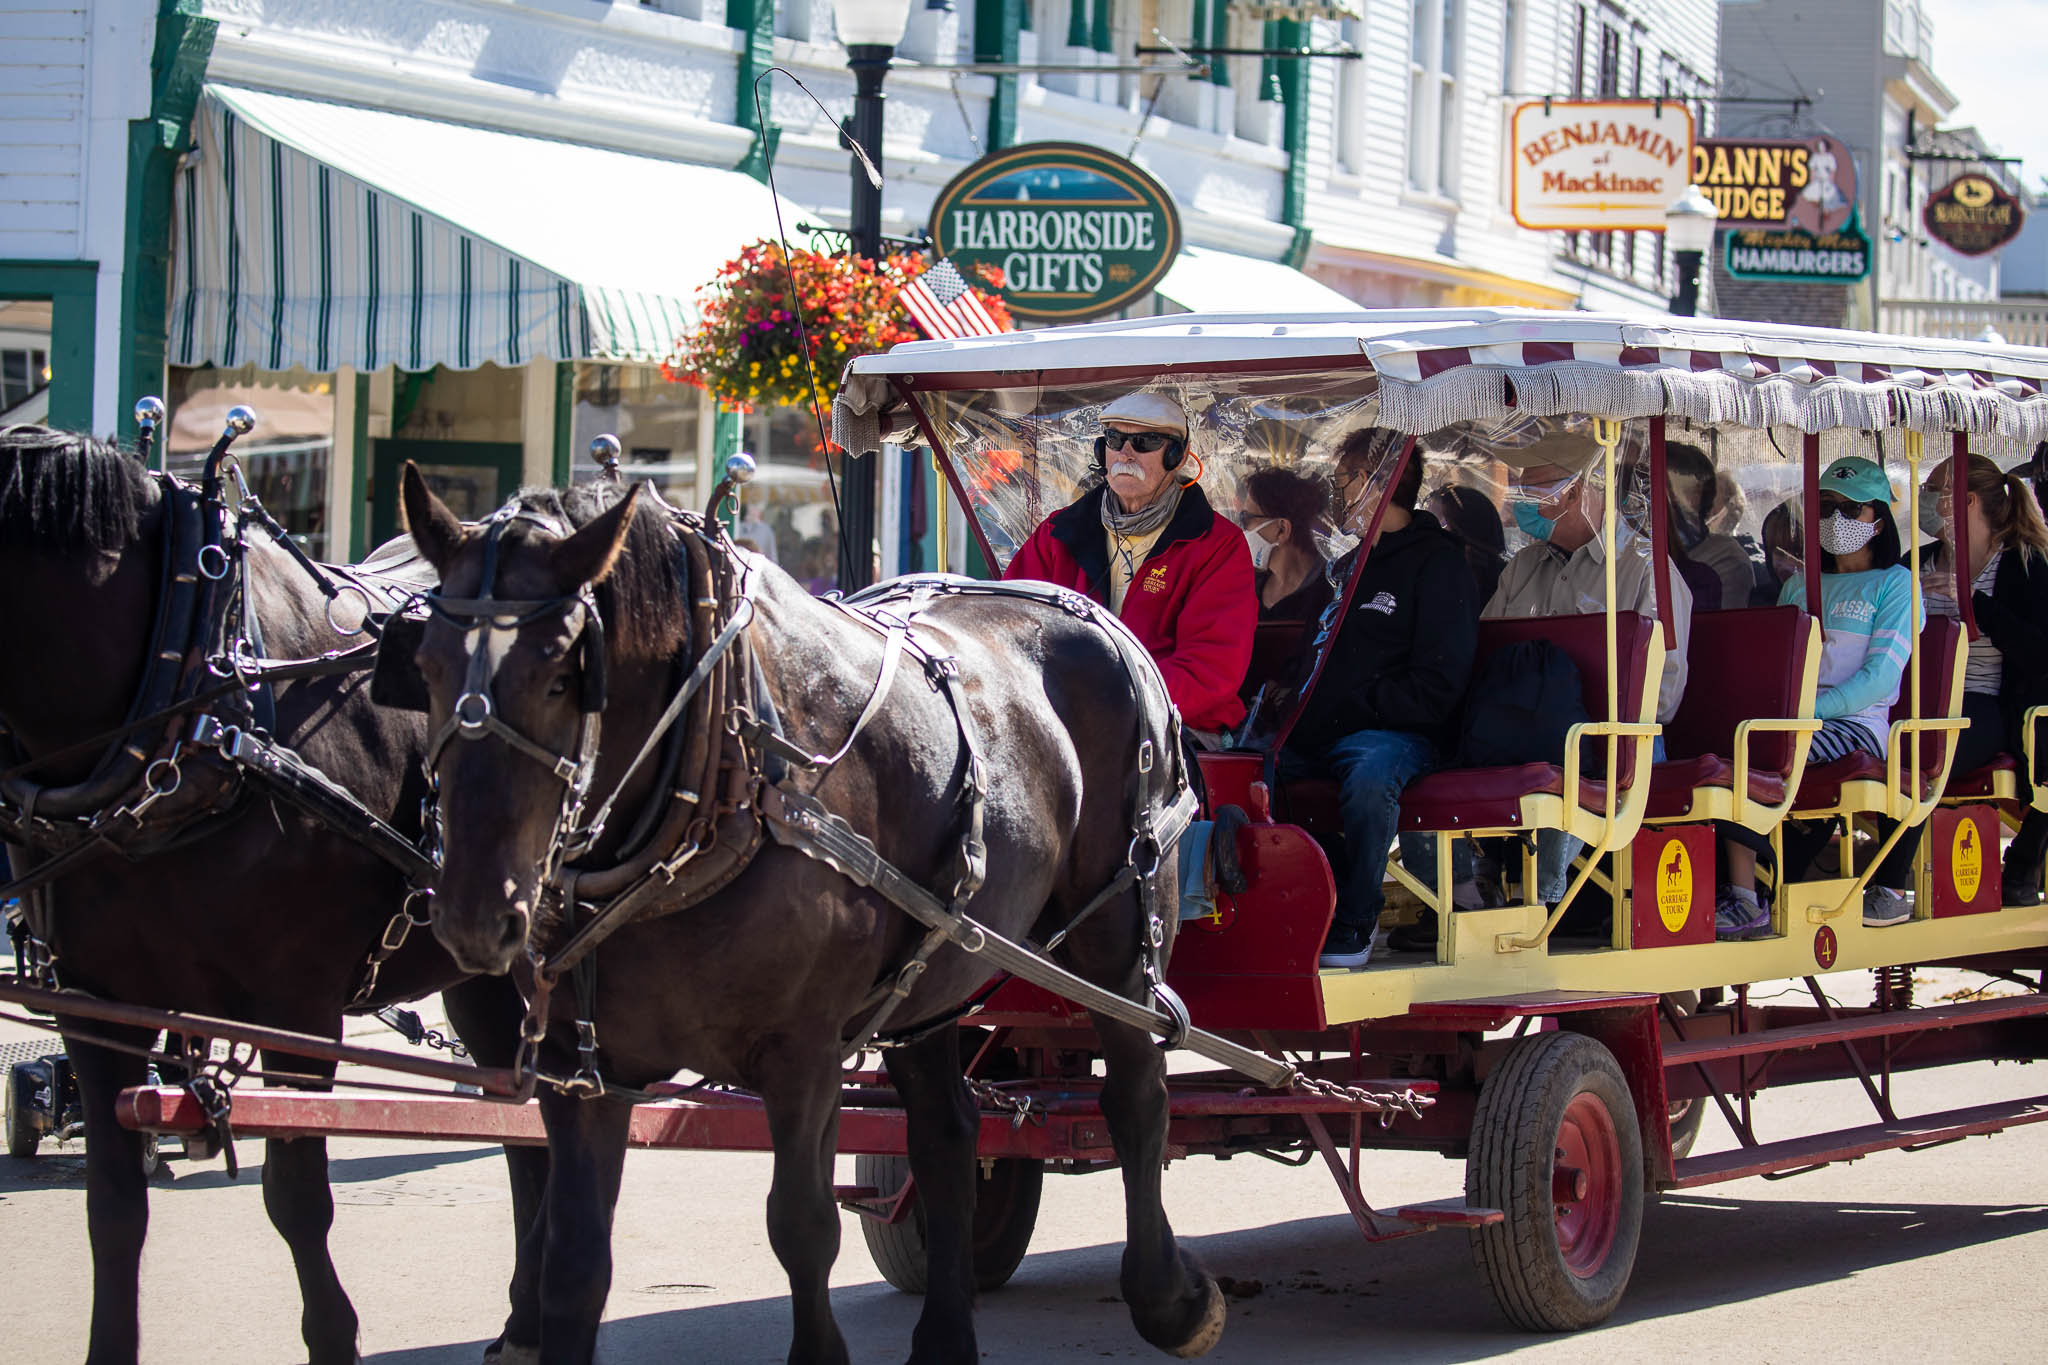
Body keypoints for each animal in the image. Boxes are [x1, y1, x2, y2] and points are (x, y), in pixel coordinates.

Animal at [0, 421, 544, 1358]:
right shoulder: (96, 1004)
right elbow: (113, 1211)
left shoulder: (297, 1005)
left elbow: (296, 1198)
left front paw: (333, 1336)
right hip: (479, 969)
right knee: (525, 1126)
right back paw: (526, 1316)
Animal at [407, 466, 1220, 1365]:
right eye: (423, 666)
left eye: (561, 675)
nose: (474, 913)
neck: (716, 769)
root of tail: (1098, 617)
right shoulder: (582, 1067)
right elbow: (574, 1259)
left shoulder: (803, 1052)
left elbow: (801, 1227)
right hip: (931, 970)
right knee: (948, 1134)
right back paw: (946, 1333)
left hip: (1119, 938)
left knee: (1137, 1098)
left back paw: (1169, 1297)